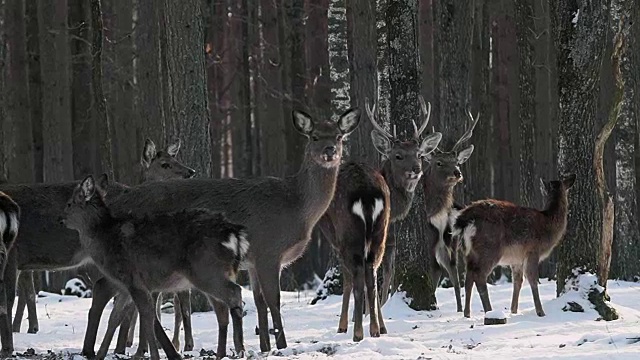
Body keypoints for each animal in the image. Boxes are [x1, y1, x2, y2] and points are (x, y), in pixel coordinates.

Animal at [0, 139, 194, 358]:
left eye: (175, 160)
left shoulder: (14, 256)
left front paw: (8, 347)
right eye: (165, 164)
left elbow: (8, 300)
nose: (190, 173)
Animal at [62, 175, 248, 360]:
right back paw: (222, 353)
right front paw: (101, 354)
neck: (105, 240)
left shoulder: (133, 281)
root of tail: (234, 234)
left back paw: (239, 350)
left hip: (207, 271)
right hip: (215, 273)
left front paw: (152, 355)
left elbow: (146, 317)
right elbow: (116, 318)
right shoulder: (125, 287)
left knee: (235, 293)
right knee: (222, 310)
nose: (61, 219)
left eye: (70, 203)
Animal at [107, 107, 362, 352]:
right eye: (315, 136)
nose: (330, 151)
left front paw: (264, 346)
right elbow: (274, 300)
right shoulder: (268, 250)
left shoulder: (253, 261)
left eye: (338, 136)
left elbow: (259, 301)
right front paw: (281, 344)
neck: (296, 207)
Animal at [312, 95, 442, 340]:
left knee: (357, 275)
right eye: (398, 155)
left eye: (419, 154)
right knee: (369, 274)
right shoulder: (390, 240)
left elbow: (358, 278)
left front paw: (348, 322)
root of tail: (366, 191)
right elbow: (387, 275)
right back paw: (375, 327)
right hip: (372, 235)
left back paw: (358, 330)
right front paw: (373, 318)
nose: (416, 169)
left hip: (347, 232)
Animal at [452, 174, 576, 318]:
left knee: (468, 278)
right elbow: (532, 279)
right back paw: (489, 310)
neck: (548, 224)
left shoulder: (516, 259)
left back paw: (467, 313)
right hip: (489, 248)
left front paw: (514, 310)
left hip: (468, 252)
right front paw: (540, 312)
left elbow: (518, 281)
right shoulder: (533, 250)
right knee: (479, 276)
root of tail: (465, 219)